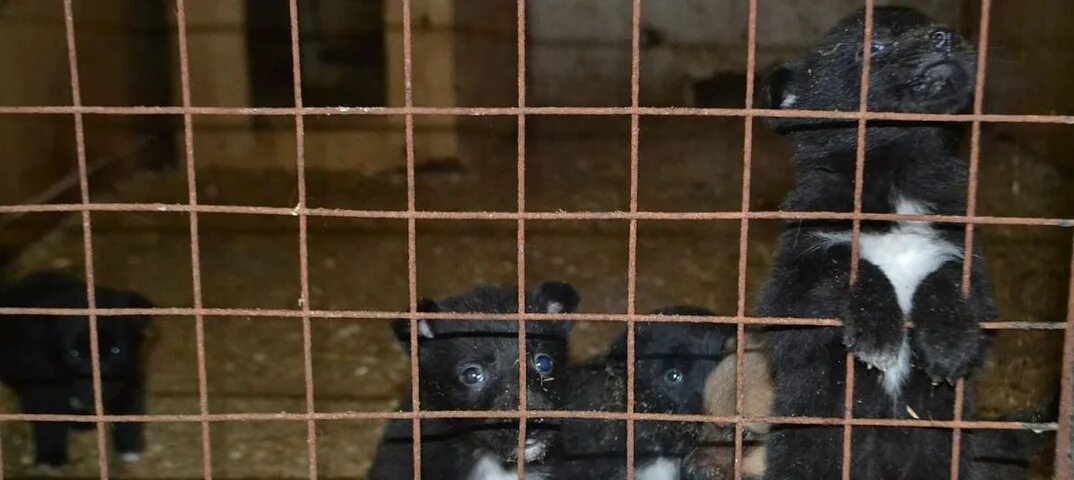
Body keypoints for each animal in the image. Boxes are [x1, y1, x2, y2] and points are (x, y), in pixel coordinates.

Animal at [0, 270, 153, 470]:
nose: (96, 387)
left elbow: (128, 413)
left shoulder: (128, 378)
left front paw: (130, 449)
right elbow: (47, 426)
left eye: (115, 350)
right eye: (74, 354)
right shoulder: (41, 390)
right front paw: (50, 458)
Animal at [756, 7, 996, 480]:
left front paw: (949, 338)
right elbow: (846, 267)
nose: (944, 37)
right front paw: (877, 327)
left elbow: (945, 281)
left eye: (930, 24)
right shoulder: (794, 288)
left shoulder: (960, 252)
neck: (896, 173)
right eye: (874, 46)